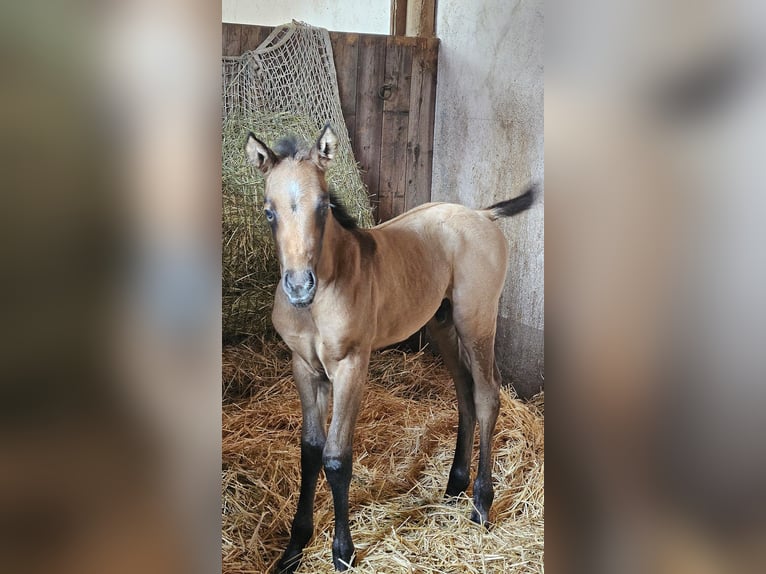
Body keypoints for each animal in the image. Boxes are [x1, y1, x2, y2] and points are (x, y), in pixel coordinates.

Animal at [249, 126, 536, 574]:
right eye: (268, 211)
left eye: (322, 207)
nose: (298, 286)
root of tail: (483, 215)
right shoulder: (304, 367)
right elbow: (310, 450)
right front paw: (293, 549)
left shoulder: (352, 365)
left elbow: (336, 457)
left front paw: (342, 552)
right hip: (441, 323)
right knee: (465, 394)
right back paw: (454, 487)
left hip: (476, 319)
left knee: (488, 396)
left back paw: (480, 506)